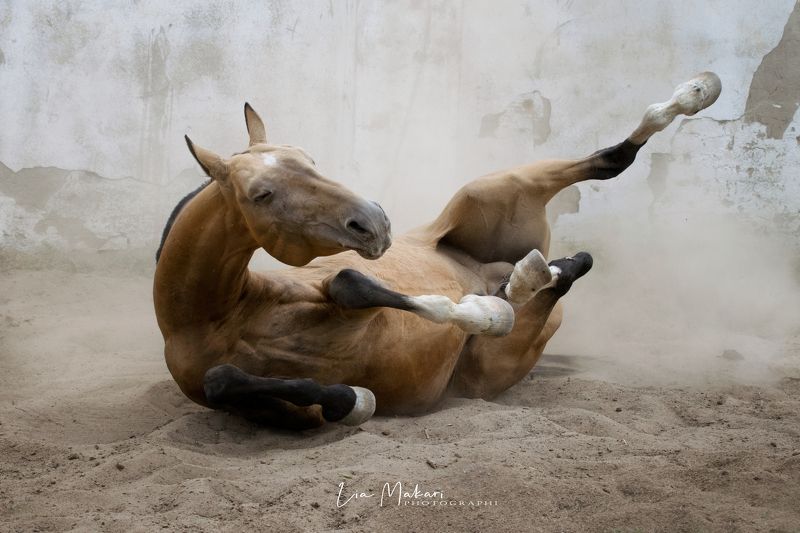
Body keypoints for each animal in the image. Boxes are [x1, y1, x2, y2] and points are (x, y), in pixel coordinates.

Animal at [153, 72, 721, 429]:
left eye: (310, 159)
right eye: (261, 194)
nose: (373, 222)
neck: (220, 317)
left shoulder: (326, 281)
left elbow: (352, 283)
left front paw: (481, 313)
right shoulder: (277, 407)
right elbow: (228, 381)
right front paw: (353, 399)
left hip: (491, 188)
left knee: (611, 162)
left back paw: (696, 93)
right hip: (492, 366)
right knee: (568, 268)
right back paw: (525, 280)